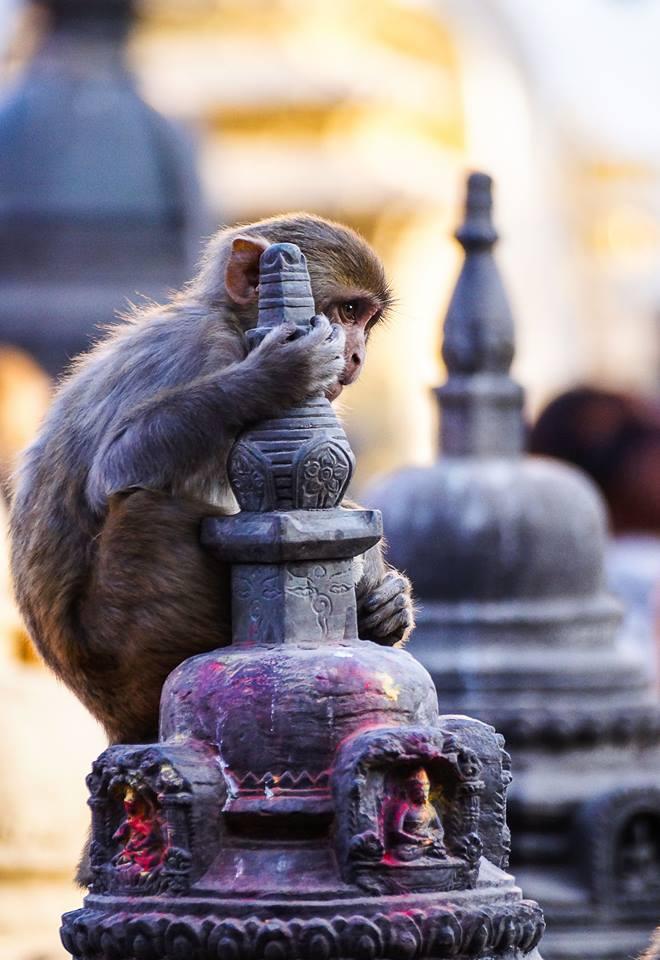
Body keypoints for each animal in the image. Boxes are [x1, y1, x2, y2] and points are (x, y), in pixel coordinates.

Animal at [9, 213, 414, 752]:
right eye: (347, 311)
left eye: (365, 321)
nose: (356, 357)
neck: (232, 323)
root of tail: (109, 718)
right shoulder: (204, 350)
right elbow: (116, 467)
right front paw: (272, 377)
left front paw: (388, 606)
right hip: (122, 652)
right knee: (148, 509)